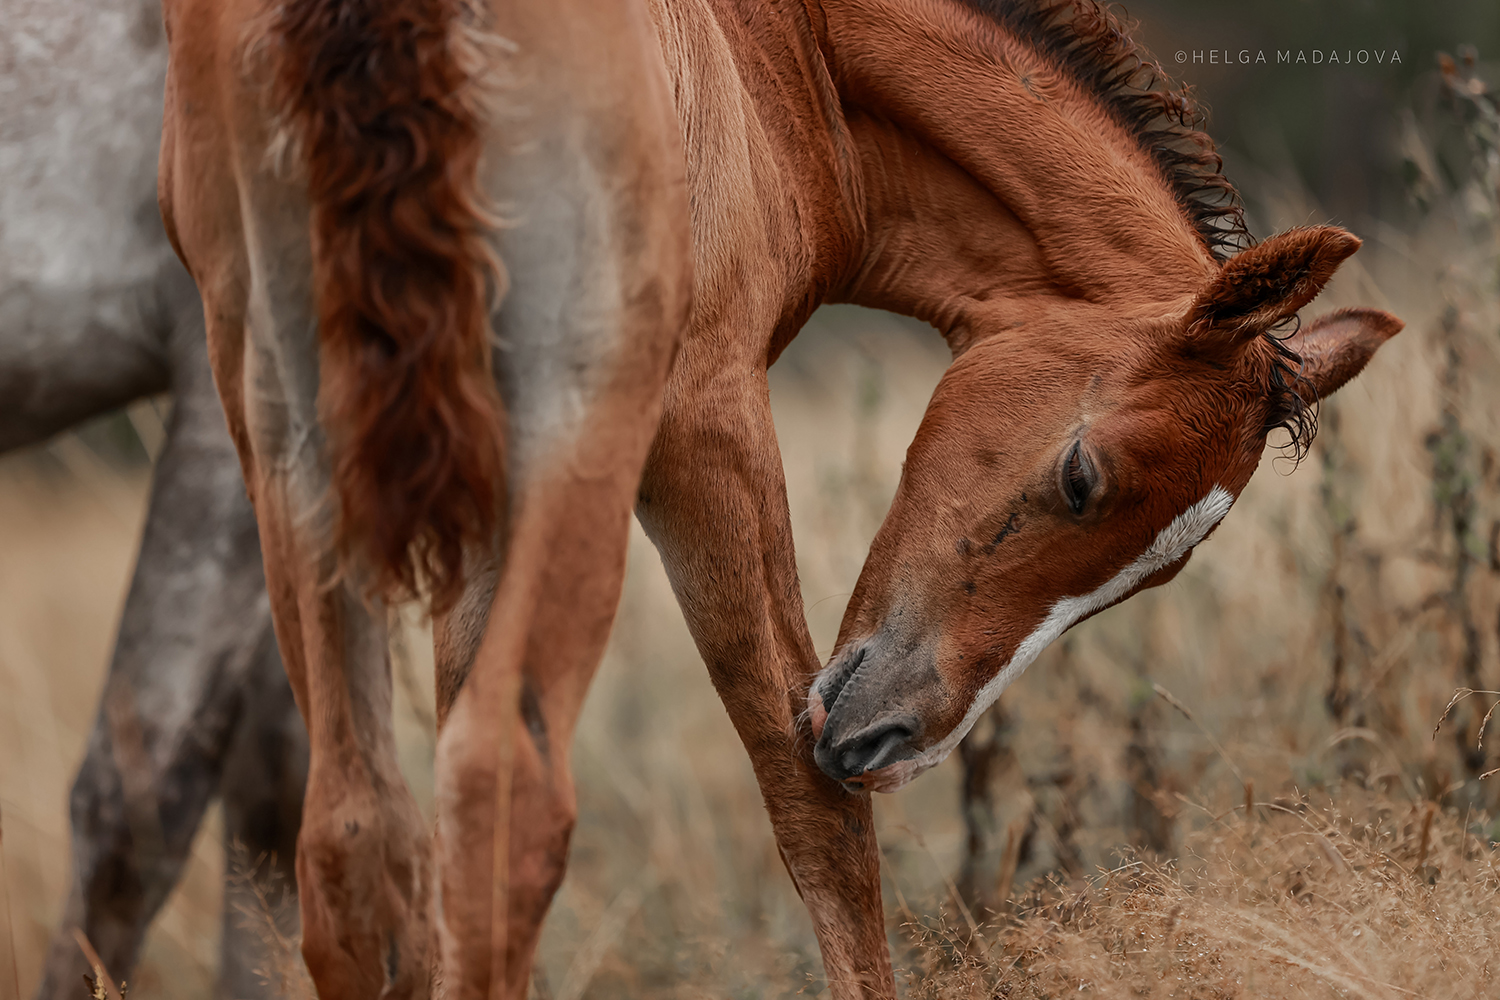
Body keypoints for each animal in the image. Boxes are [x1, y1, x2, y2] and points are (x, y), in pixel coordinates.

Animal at [158, 0, 1398, 995]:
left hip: (286, 418)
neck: (786, 52)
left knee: (360, 833)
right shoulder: (708, 417)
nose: (891, 735)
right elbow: (815, 807)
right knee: (506, 786)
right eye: (1083, 476)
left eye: (1159, 569)